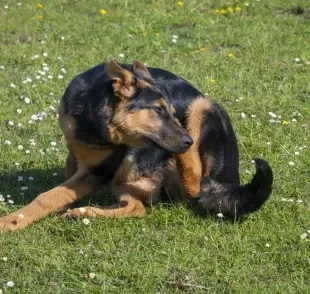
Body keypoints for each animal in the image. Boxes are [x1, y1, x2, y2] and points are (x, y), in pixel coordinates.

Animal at [0, 58, 272, 231]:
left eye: (170, 110)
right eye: (159, 110)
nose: (188, 141)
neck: (96, 121)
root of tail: (231, 180)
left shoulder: (100, 170)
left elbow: (48, 196)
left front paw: (12, 221)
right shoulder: (76, 153)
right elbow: (64, 186)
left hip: (202, 112)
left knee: (193, 181)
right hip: (128, 178)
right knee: (137, 207)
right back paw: (83, 214)